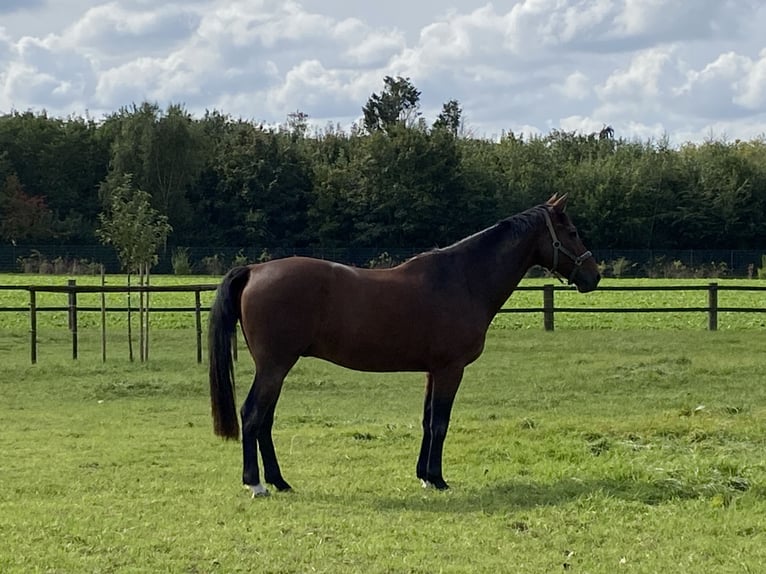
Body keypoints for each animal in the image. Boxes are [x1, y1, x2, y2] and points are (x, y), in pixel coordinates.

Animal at [208, 196, 600, 498]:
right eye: (572, 233)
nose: (594, 275)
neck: (463, 279)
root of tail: (254, 270)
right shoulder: (450, 370)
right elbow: (440, 422)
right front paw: (438, 480)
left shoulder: (433, 371)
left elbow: (427, 421)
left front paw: (424, 476)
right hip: (274, 366)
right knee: (252, 415)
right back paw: (256, 484)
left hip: (276, 368)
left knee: (265, 420)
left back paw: (279, 481)